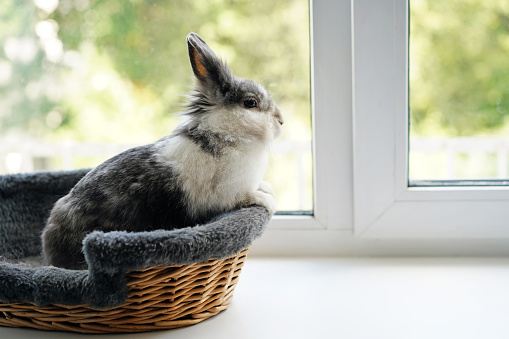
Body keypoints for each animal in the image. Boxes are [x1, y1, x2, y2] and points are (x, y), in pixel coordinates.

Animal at [40, 32, 284, 270]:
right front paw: (269, 202)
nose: (281, 121)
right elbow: (247, 197)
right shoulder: (226, 195)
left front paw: (268, 189)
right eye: (250, 103)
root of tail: (49, 248)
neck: (225, 135)